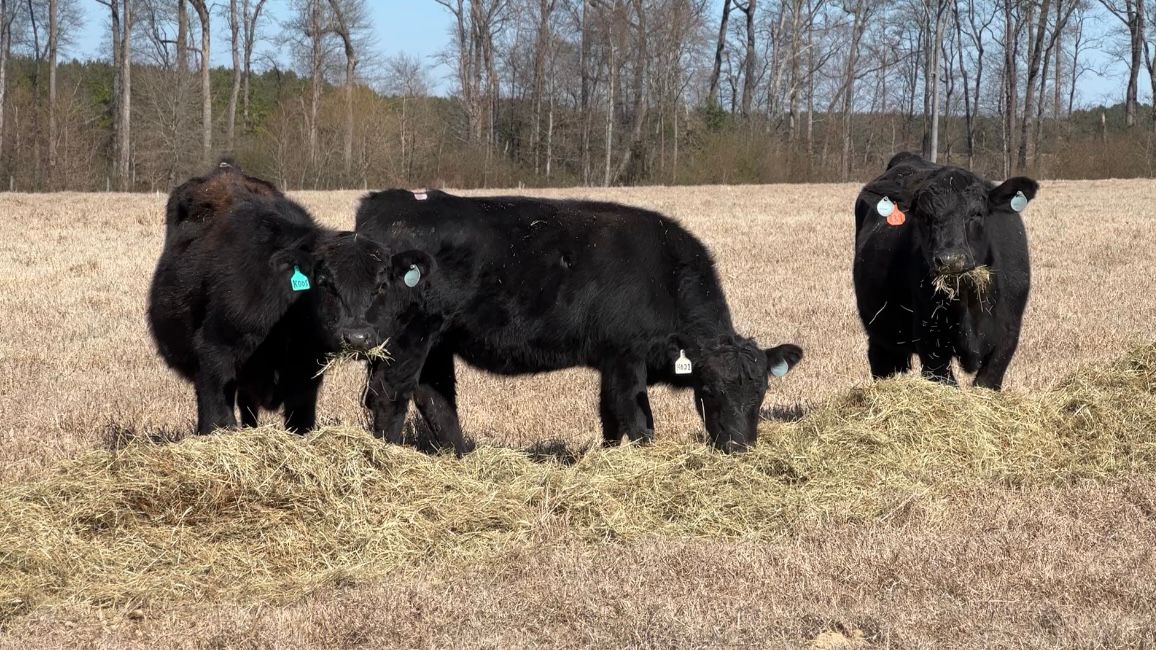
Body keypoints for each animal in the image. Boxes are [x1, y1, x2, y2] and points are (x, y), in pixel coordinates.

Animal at [149, 164, 430, 432]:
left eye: (381, 285)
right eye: (324, 282)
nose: (357, 337)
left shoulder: (305, 374)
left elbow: (301, 422)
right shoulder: (215, 355)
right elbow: (217, 420)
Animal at [356, 188, 799, 451]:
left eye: (761, 393)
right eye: (707, 390)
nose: (739, 447)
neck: (665, 274)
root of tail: (386, 200)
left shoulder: (610, 362)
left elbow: (611, 418)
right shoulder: (625, 357)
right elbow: (637, 419)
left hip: (437, 340)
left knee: (435, 397)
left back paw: (461, 456)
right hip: (406, 335)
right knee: (389, 394)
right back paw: (387, 455)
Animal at [855, 151, 1035, 386]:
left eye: (977, 213)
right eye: (924, 216)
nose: (951, 260)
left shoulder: (1007, 337)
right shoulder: (931, 343)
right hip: (882, 334)